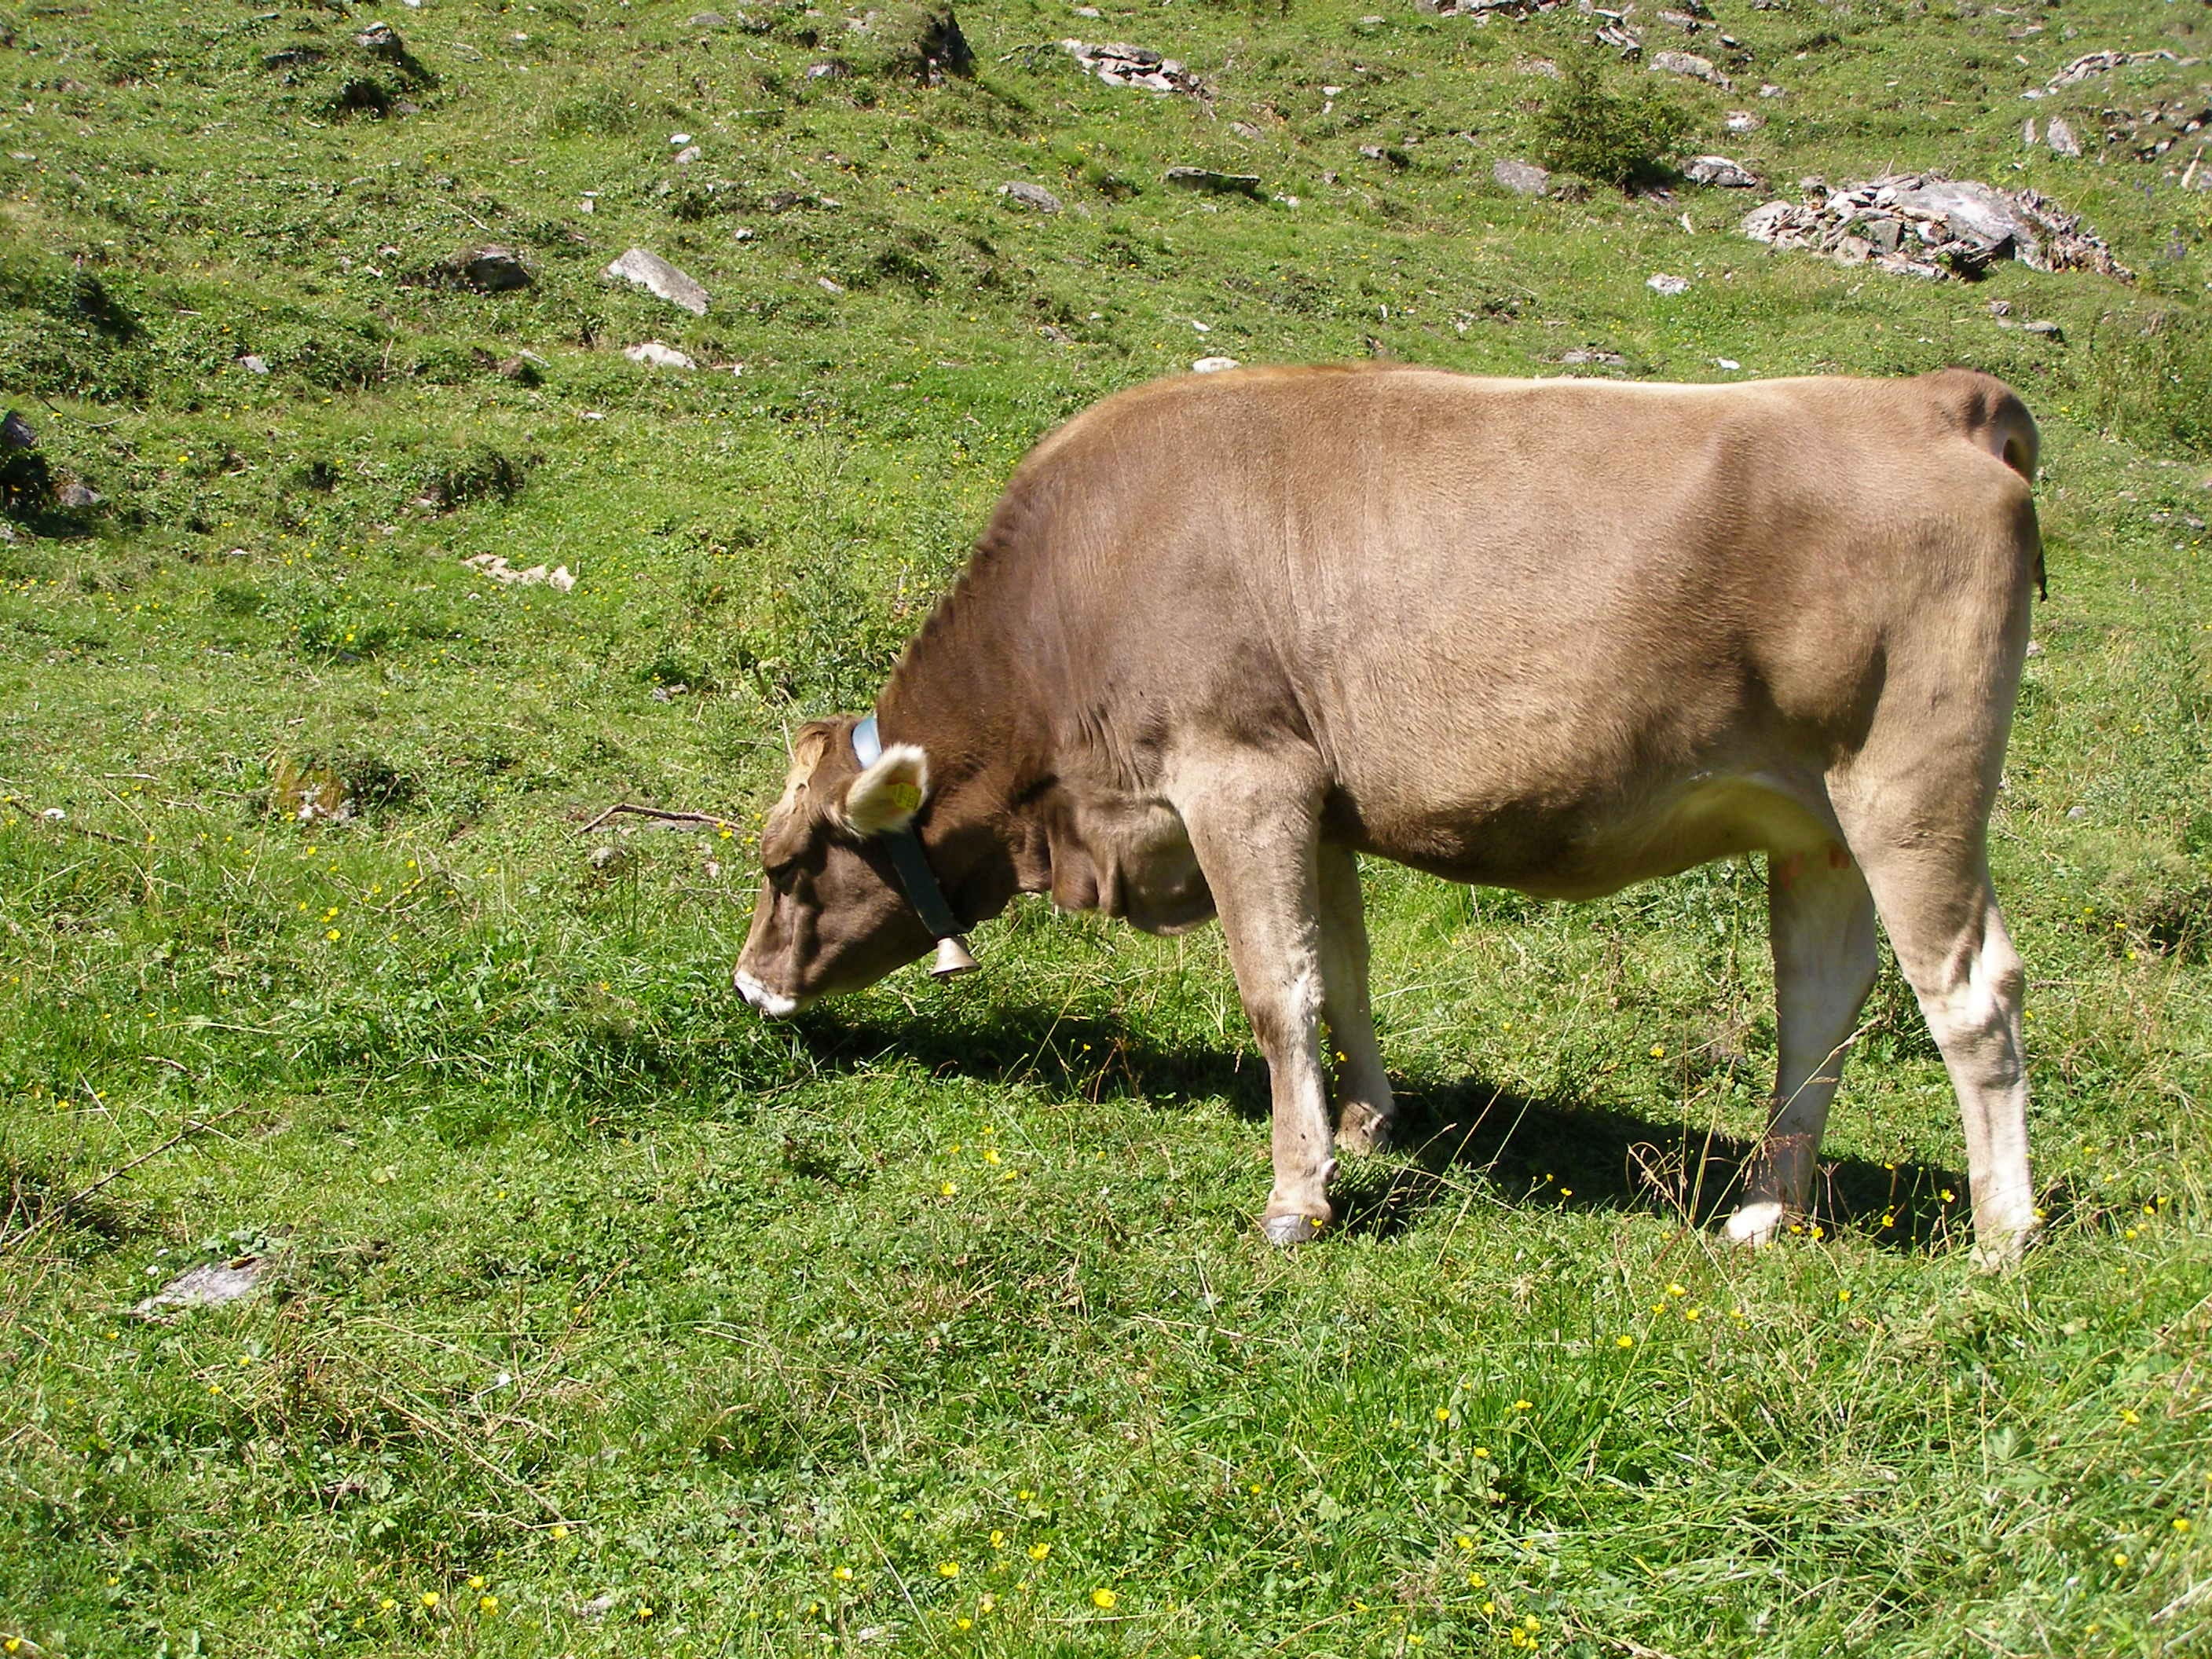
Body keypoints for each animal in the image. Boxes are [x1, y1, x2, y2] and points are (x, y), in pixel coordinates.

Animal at [734, 364, 2045, 1266]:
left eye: (787, 863)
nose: (750, 988)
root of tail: (1928, 396)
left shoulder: (1240, 775)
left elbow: (1277, 994)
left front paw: (1295, 1199)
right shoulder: (1320, 804)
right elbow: (1344, 973)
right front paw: (1366, 1127)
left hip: (1910, 791)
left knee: (1970, 992)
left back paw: (2002, 1237)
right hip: (1815, 829)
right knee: (1820, 1006)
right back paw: (1766, 1210)